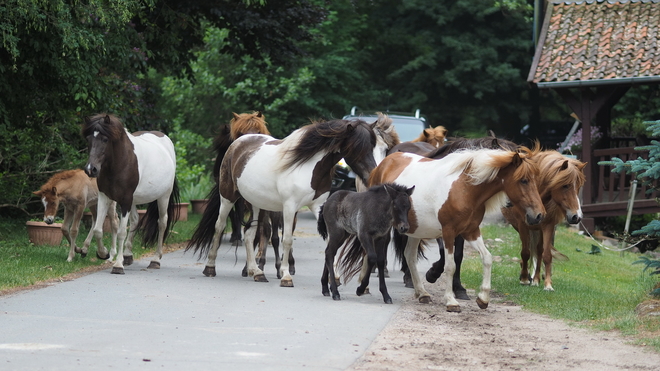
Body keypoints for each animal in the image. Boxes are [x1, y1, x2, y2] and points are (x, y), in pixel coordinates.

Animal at [82, 115, 180, 274]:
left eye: (105, 139)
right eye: (88, 139)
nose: (91, 169)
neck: (119, 164)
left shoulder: (125, 201)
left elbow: (121, 232)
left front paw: (117, 265)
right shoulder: (104, 197)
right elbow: (97, 229)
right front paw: (104, 254)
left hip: (163, 197)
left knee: (162, 223)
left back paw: (155, 260)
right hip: (134, 200)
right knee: (135, 220)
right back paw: (127, 256)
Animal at [188, 117, 378, 286]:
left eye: (373, 145)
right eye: (356, 147)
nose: (371, 175)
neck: (309, 166)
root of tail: (237, 143)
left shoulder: (318, 206)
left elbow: (330, 239)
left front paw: (336, 277)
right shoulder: (289, 207)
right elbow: (287, 239)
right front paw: (286, 276)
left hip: (256, 203)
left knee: (250, 233)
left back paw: (256, 272)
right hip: (228, 197)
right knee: (219, 227)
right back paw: (210, 267)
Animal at [368, 147, 544, 312]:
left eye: (535, 180)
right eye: (523, 180)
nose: (539, 215)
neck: (465, 188)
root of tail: (383, 164)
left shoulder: (471, 231)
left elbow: (487, 258)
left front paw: (483, 298)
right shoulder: (448, 232)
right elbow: (450, 266)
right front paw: (451, 301)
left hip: (417, 230)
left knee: (409, 256)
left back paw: (422, 293)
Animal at [502, 150, 584, 292]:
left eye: (578, 187)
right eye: (565, 185)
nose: (576, 217)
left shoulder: (548, 226)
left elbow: (546, 255)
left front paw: (548, 284)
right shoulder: (523, 226)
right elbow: (526, 252)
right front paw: (524, 278)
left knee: (539, 251)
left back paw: (536, 279)